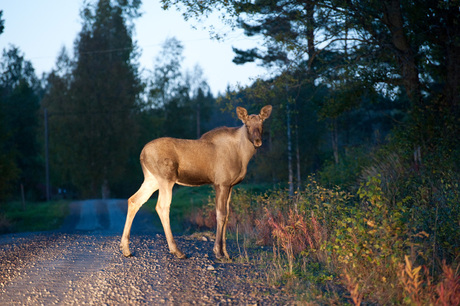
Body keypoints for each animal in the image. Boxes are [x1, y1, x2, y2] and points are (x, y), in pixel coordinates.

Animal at [120, 105, 274, 260]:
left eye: (262, 124)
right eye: (247, 125)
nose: (257, 141)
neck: (243, 156)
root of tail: (142, 154)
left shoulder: (230, 185)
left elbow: (227, 215)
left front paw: (226, 253)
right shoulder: (221, 183)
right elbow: (221, 214)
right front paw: (218, 252)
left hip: (151, 179)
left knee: (134, 200)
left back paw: (126, 248)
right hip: (166, 178)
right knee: (162, 207)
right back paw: (177, 250)